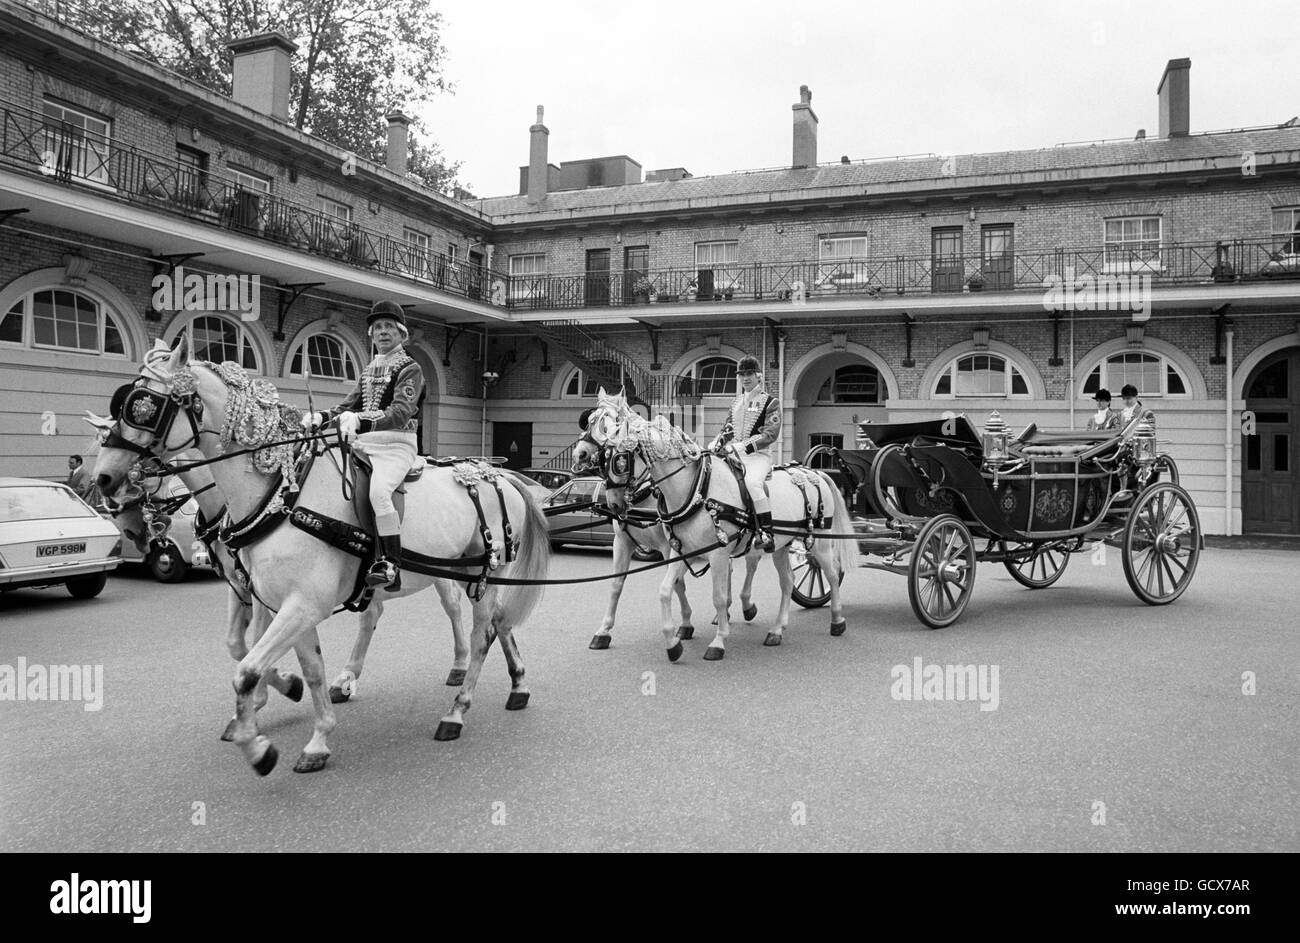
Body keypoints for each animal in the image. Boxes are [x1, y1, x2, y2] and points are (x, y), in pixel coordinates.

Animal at [94, 335, 551, 770]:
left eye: (144, 405)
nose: (103, 478)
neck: (280, 496)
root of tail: (497, 473)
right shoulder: (277, 600)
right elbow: (294, 665)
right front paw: (312, 730)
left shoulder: (298, 604)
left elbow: (247, 667)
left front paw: (258, 741)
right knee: (489, 622)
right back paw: (516, 684)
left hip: (482, 574)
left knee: (480, 632)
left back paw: (457, 710)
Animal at [579, 385, 852, 658]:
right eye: (590, 421)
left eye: (620, 459)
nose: (614, 503)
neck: (696, 488)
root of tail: (812, 472)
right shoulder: (668, 549)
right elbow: (656, 588)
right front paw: (668, 641)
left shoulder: (714, 552)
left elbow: (716, 596)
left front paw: (717, 640)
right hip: (781, 545)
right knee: (787, 581)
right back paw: (776, 629)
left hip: (820, 542)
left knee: (830, 573)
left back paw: (837, 620)